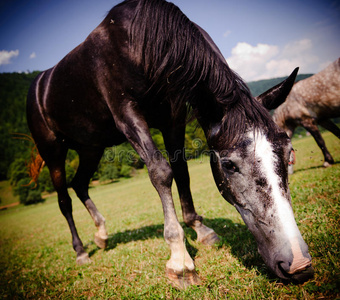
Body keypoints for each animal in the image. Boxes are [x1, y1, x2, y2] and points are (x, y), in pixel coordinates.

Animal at [26, 0, 314, 288]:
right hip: (53, 152)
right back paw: (81, 251)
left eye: (289, 154)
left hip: (90, 148)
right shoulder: (128, 116)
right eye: (229, 165)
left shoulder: (173, 119)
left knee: (80, 184)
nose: (298, 264)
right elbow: (161, 172)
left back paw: (102, 235)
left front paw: (200, 229)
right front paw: (180, 260)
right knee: (64, 200)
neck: (139, 42)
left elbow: (182, 172)